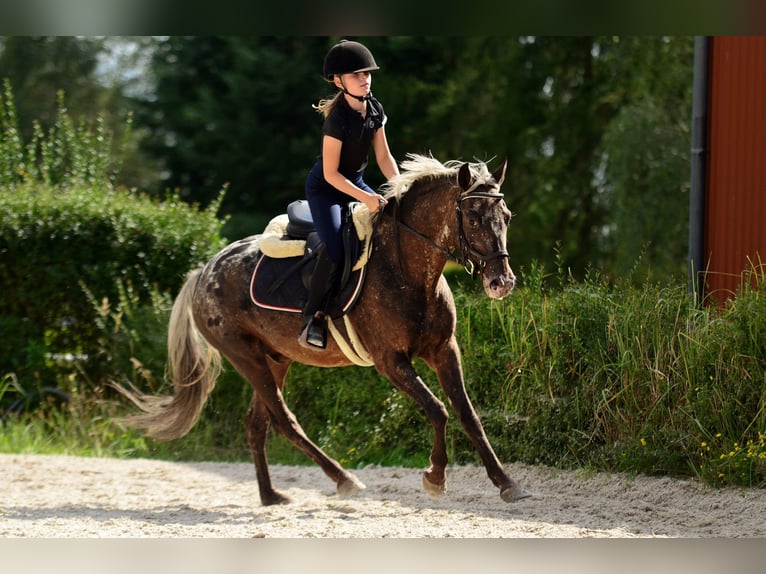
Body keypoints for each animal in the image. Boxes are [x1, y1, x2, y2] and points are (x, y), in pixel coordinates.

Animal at [115, 153, 530, 506]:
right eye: (473, 218)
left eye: (507, 216)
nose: (501, 283)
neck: (408, 273)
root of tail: (204, 271)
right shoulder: (391, 362)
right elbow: (438, 410)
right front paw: (435, 477)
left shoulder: (445, 349)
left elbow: (467, 414)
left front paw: (507, 483)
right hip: (245, 356)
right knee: (284, 421)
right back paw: (343, 479)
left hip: (276, 358)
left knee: (257, 424)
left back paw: (271, 495)